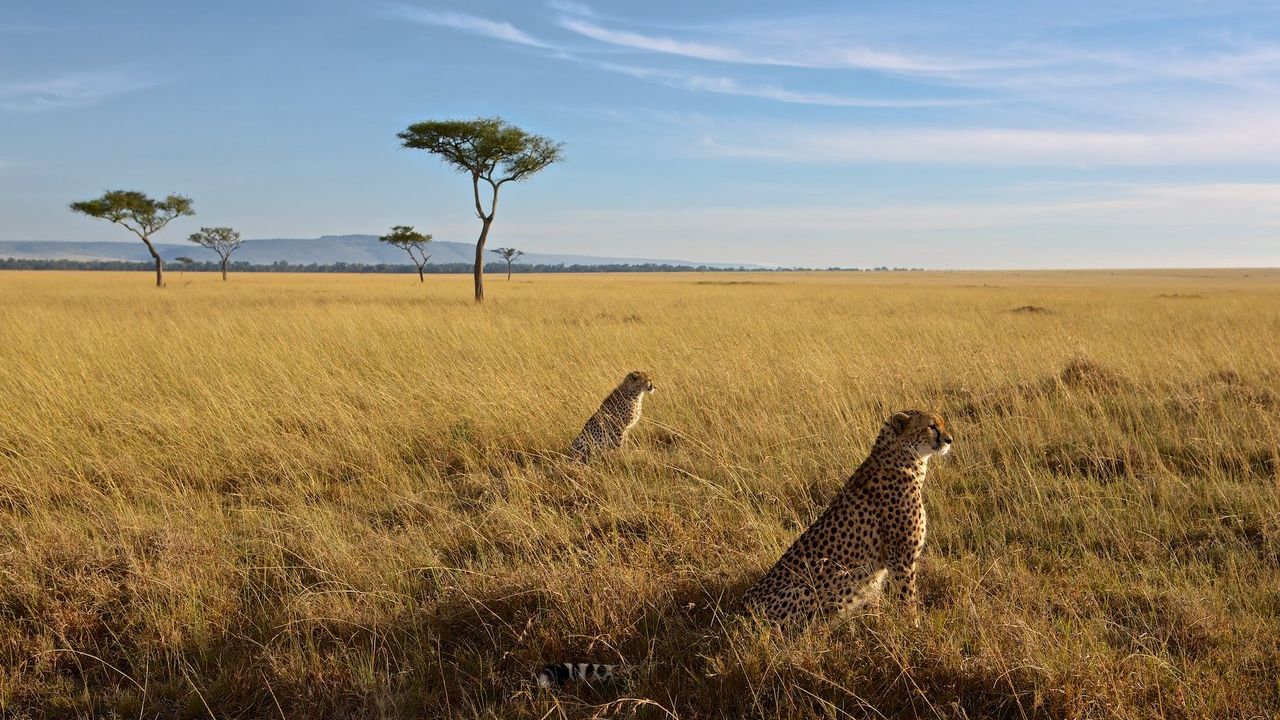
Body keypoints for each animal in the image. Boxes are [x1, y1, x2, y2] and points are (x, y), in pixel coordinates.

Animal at [742, 409, 952, 627]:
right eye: (931, 426)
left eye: (942, 424)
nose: (949, 440)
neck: (904, 460)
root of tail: (744, 606)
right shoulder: (901, 559)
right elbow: (907, 598)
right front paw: (913, 627)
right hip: (805, 590)